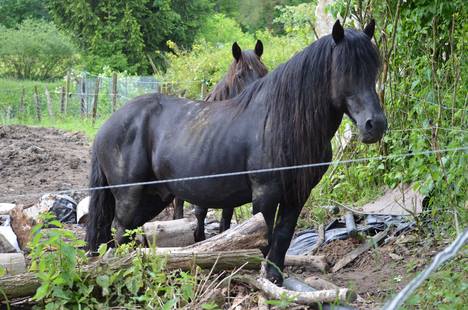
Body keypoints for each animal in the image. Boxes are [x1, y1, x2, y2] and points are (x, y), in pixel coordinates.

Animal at [171, 40, 266, 242]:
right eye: (240, 75)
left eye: (264, 71)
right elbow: (200, 212)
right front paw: (199, 237)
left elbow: (227, 215)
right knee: (179, 208)